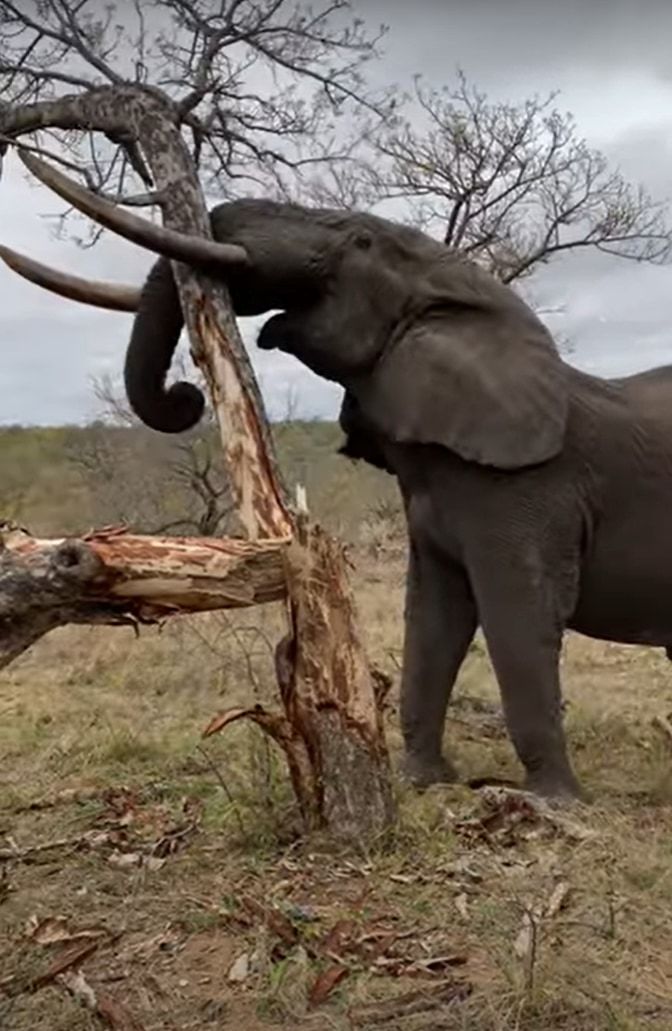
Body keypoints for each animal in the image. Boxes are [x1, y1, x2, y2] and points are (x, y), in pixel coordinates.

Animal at [5, 181, 672, 800]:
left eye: (360, 240)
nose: (185, 395)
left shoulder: (528, 489)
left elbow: (519, 615)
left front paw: (547, 803)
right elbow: (432, 617)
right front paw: (422, 783)